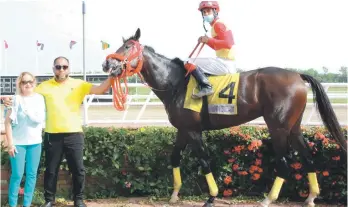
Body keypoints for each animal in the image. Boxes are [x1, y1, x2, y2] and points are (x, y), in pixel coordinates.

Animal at [100, 27, 346, 207]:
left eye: (128, 47)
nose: (107, 63)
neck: (175, 83)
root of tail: (297, 75)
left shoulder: (193, 131)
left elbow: (204, 161)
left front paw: (211, 196)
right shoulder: (183, 129)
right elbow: (175, 158)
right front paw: (174, 194)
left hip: (277, 127)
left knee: (285, 164)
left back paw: (268, 199)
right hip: (293, 127)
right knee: (308, 158)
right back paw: (311, 197)